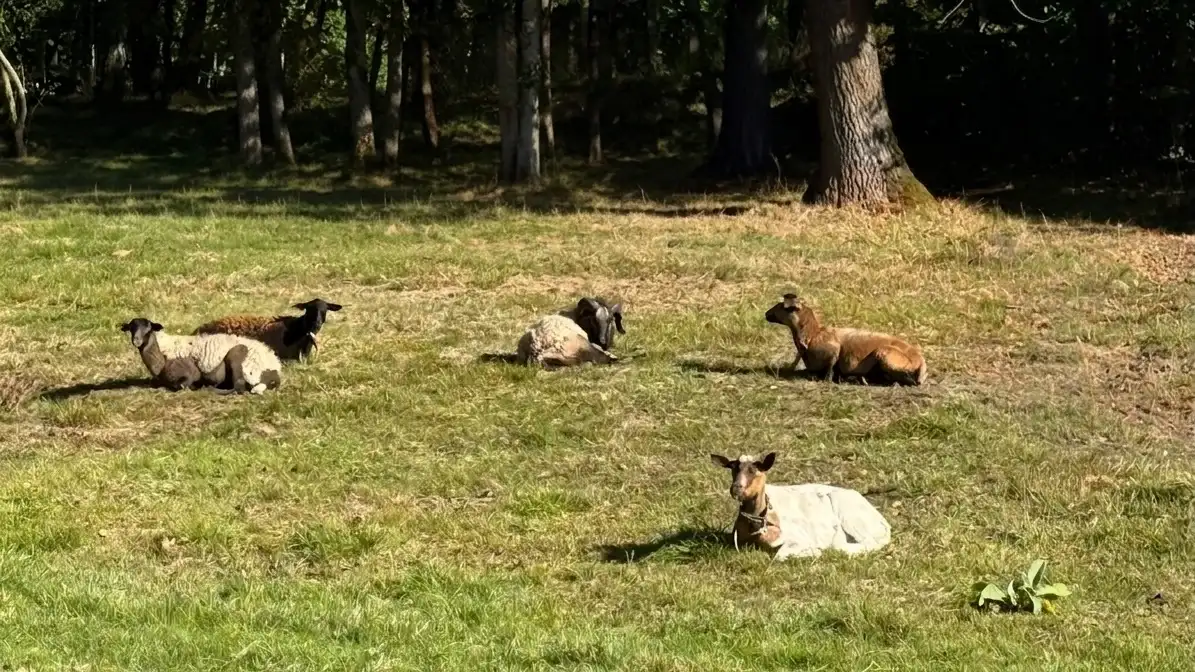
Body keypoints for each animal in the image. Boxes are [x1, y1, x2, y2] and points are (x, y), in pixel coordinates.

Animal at [121, 317, 282, 394]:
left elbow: (181, 385)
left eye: (149, 330)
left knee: (239, 387)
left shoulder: (189, 373)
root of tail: (274, 368)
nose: (136, 341)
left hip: (241, 360)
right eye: (131, 328)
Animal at [710, 452, 892, 560]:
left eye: (754, 470)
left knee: (869, 543)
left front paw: (815, 551)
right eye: (733, 468)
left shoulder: (798, 537)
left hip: (851, 517)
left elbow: (780, 555)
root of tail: (884, 523)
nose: (736, 488)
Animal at [764, 293, 927, 386]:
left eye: (781, 306)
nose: (766, 314)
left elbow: (829, 369)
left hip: (884, 353)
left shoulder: (833, 351)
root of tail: (920, 362)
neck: (813, 335)